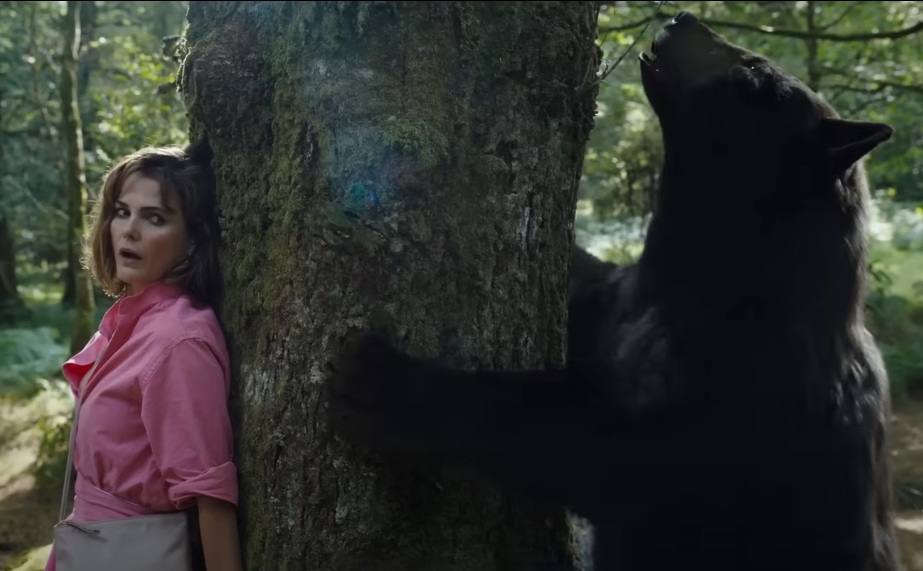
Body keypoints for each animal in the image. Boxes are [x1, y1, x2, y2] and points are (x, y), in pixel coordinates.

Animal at [327, 11, 899, 571]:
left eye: (753, 78)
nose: (683, 16)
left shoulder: (748, 405)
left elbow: (596, 449)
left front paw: (394, 385)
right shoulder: (622, 303)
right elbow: (585, 290)